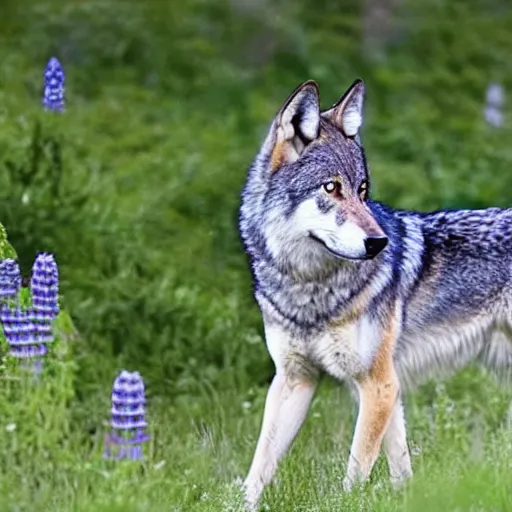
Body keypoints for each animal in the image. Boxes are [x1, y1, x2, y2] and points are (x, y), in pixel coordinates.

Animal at [238, 79, 510, 508]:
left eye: (363, 190)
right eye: (331, 188)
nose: (379, 243)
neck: (310, 287)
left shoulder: (378, 384)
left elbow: (356, 470)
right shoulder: (298, 380)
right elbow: (260, 466)